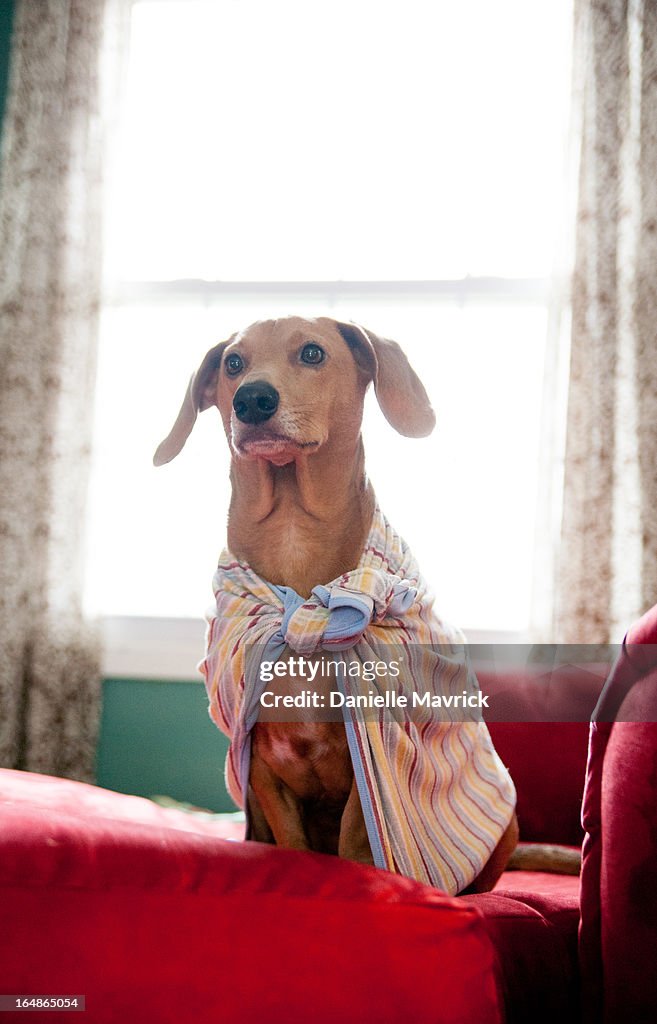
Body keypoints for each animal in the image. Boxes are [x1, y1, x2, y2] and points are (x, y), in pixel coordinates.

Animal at [155, 315, 519, 892]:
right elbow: (292, 841)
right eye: (233, 363)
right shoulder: (263, 767)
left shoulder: (363, 762)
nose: (252, 399)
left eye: (312, 353)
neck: (294, 539)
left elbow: (355, 839)